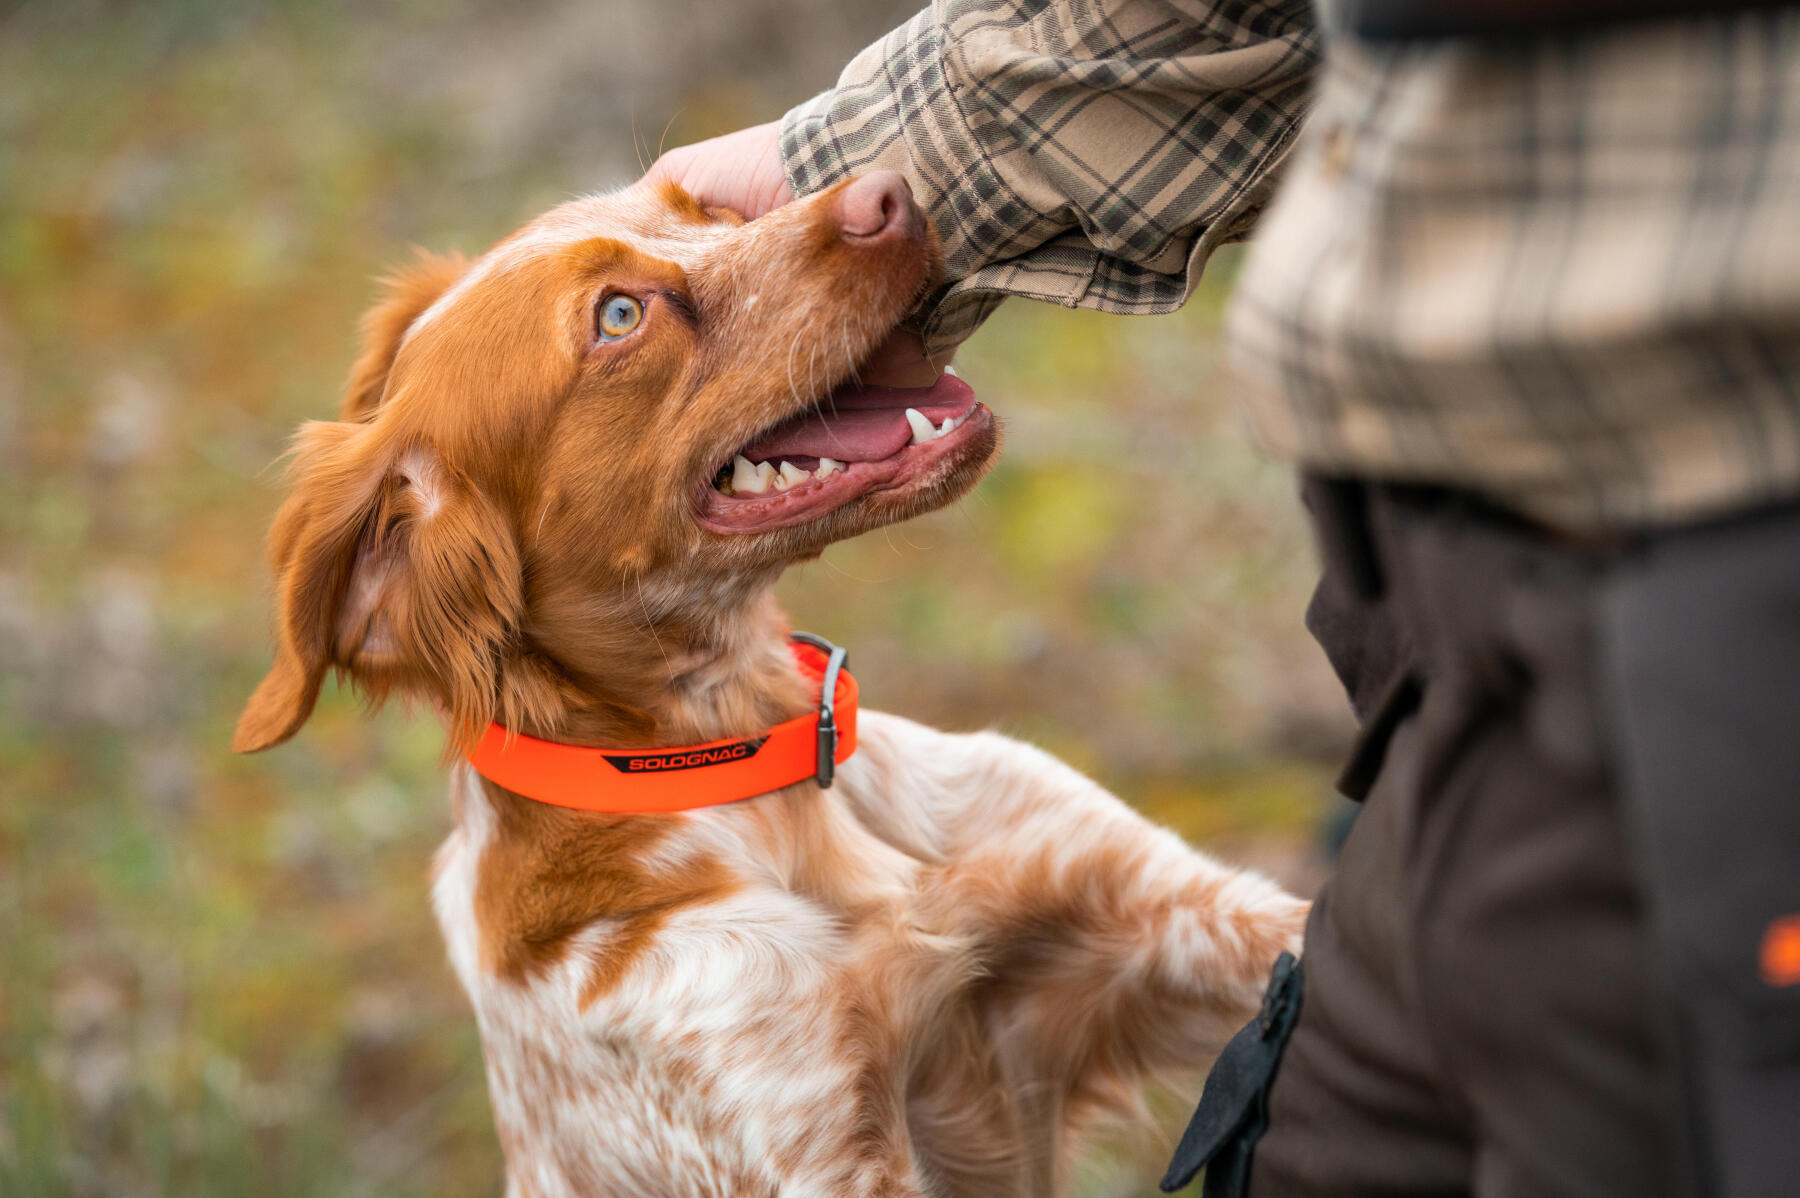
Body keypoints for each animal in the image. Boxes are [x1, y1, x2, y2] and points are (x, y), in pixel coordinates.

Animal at [239, 169, 1310, 1194]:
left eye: (703, 207)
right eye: (616, 316)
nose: (890, 190)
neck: (761, 775)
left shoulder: (1176, 916)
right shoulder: (822, 1144)